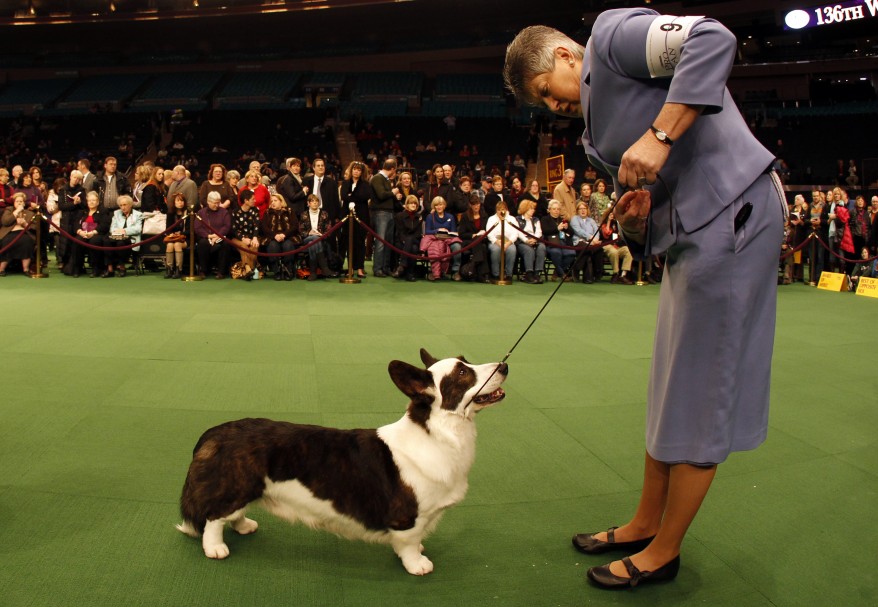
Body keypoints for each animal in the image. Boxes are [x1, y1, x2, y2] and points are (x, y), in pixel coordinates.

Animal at [177, 350, 508, 576]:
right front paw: (418, 564)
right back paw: (215, 548)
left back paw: (245, 526)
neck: (440, 432)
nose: (504, 366)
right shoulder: (409, 516)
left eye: (466, 361)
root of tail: (215, 432)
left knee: (232, 513)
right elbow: (409, 544)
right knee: (214, 517)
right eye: (463, 373)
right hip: (236, 486)